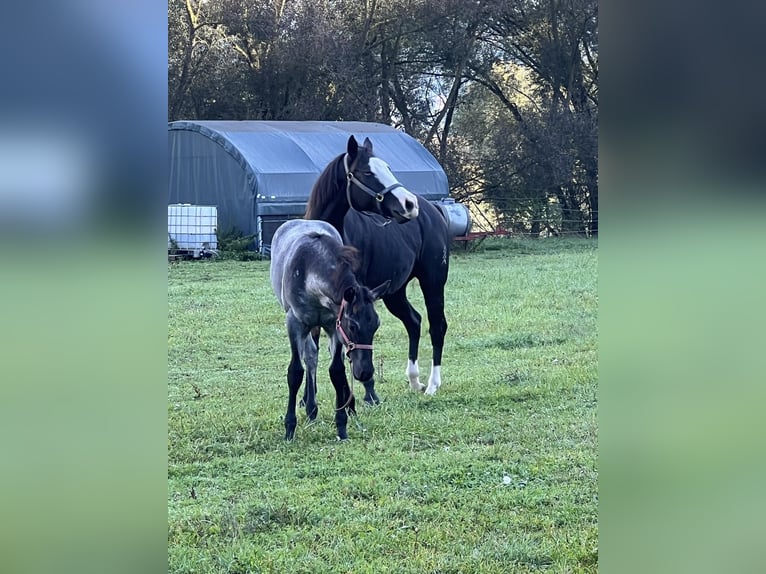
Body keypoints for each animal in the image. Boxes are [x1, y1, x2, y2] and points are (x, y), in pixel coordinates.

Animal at [270, 219, 390, 440]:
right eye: (353, 325)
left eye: (376, 324)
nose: (365, 372)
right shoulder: (294, 322)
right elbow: (295, 372)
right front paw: (289, 427)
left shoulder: (334, 325)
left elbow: (337, 371)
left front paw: (341, 424)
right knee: (310, 356)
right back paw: (311, 408)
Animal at [304, 137, 450, 402]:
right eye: (367, 172)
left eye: (388, 168)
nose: (409, 204)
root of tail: (433, 210)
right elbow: (315, 343)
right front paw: (307, 398)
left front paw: (368, 392)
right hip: (395, 292)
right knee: (414, 321)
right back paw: (414, 380)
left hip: (433, 282)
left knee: (437, 326)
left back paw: (433, 384)